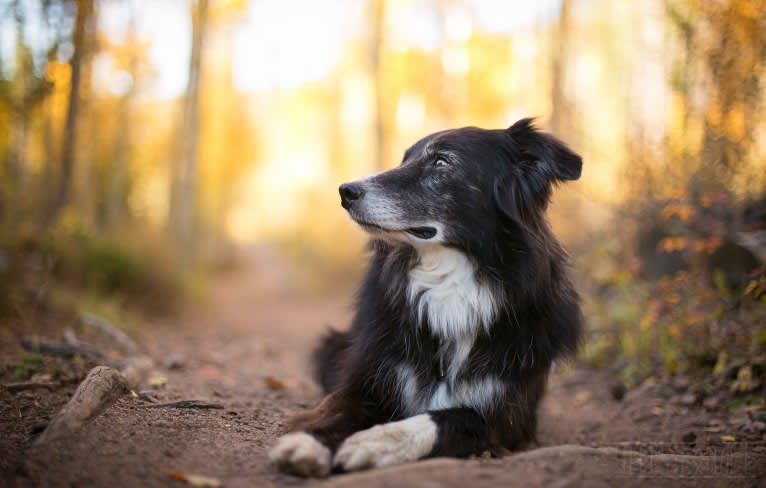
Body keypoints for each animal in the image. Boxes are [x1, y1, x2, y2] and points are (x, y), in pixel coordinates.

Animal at [272, 119, 584, 476]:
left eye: (441, 162)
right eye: (404, 159)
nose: (345, 192)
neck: (449, 283)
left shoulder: (508, 417)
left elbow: (450, 417)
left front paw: (375, 442)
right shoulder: (370, 376)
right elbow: (337, 408)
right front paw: (307, 442)